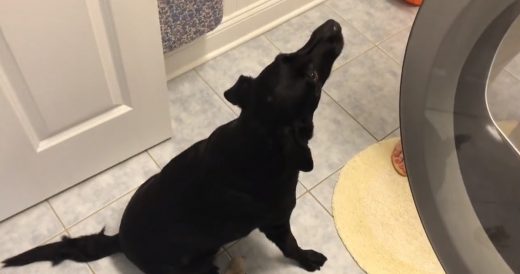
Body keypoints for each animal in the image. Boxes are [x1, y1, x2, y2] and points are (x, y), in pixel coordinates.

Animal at [4, 19, 346, 274]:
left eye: (283, 56)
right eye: (312, 77)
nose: (333, 25)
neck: (255, 137)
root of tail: (120, 242)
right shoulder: (276, 221)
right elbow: (291, 245)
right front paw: (308, 258)